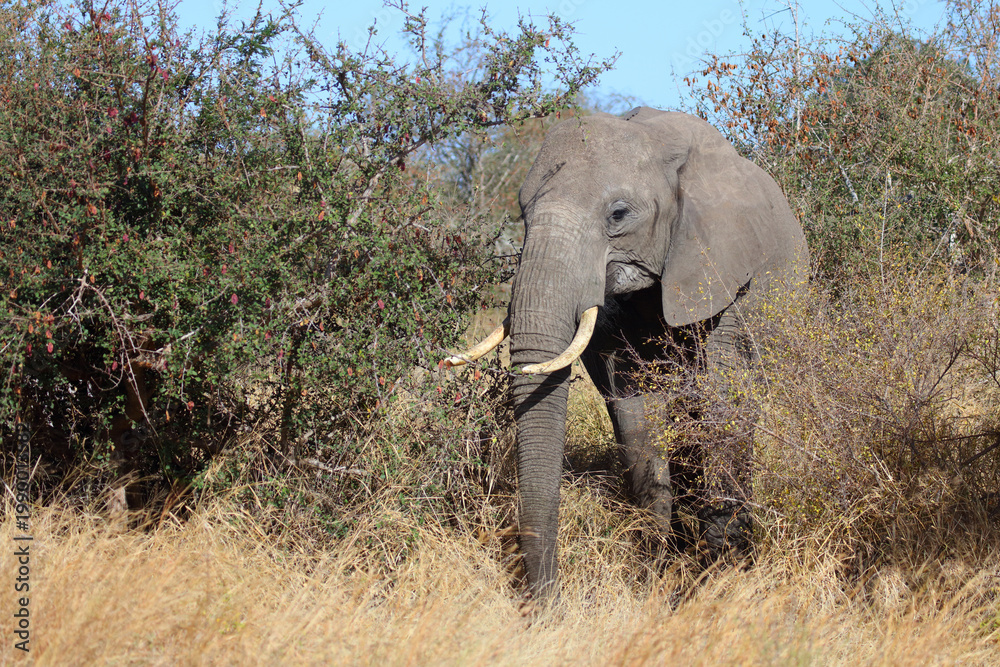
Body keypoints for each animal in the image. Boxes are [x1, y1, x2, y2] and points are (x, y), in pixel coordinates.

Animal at [446, 107, 808, 601]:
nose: (548, 604)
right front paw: (658, 571)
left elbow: (724, 397)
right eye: (521, 212)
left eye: (618, 214)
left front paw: (721, 577)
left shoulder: (737, 274)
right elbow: (635, 408)